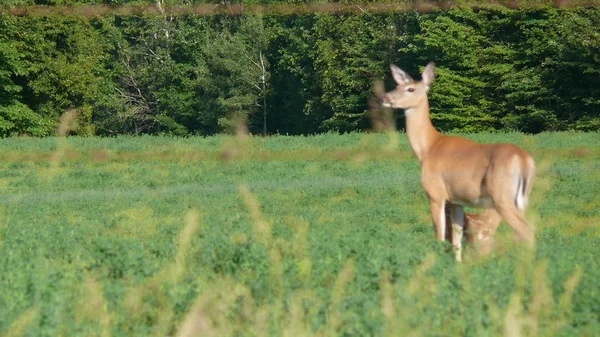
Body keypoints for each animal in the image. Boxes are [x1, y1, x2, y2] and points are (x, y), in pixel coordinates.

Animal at [382, 63, 536, 262]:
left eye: (410, 89)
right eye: (397, 86)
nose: (385, 97)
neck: (428, 148)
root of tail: (523, 159)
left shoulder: (436, 193)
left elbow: (439, 236)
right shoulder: (457, 201)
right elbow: (457, 239)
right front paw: (457, 264)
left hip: (501, 196)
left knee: (527, 230)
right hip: (522, 199)